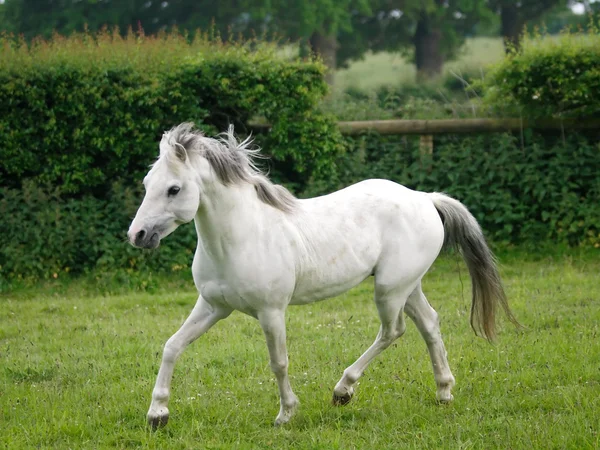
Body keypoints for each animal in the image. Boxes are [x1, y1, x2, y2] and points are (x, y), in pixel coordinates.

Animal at [126, 123, 516, 428]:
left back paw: (343, 390)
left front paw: (286, 414)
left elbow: (279, 362)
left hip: (389, 290)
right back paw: (443, 392)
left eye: (174, 189)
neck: (241, 236)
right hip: (407, 286)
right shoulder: (212, 307)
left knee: (393, 331)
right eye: (147, 183)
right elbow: (172, 346)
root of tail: (425, 198)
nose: (137, 235)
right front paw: (157, 414)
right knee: (429, 324)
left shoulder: (271, 312)